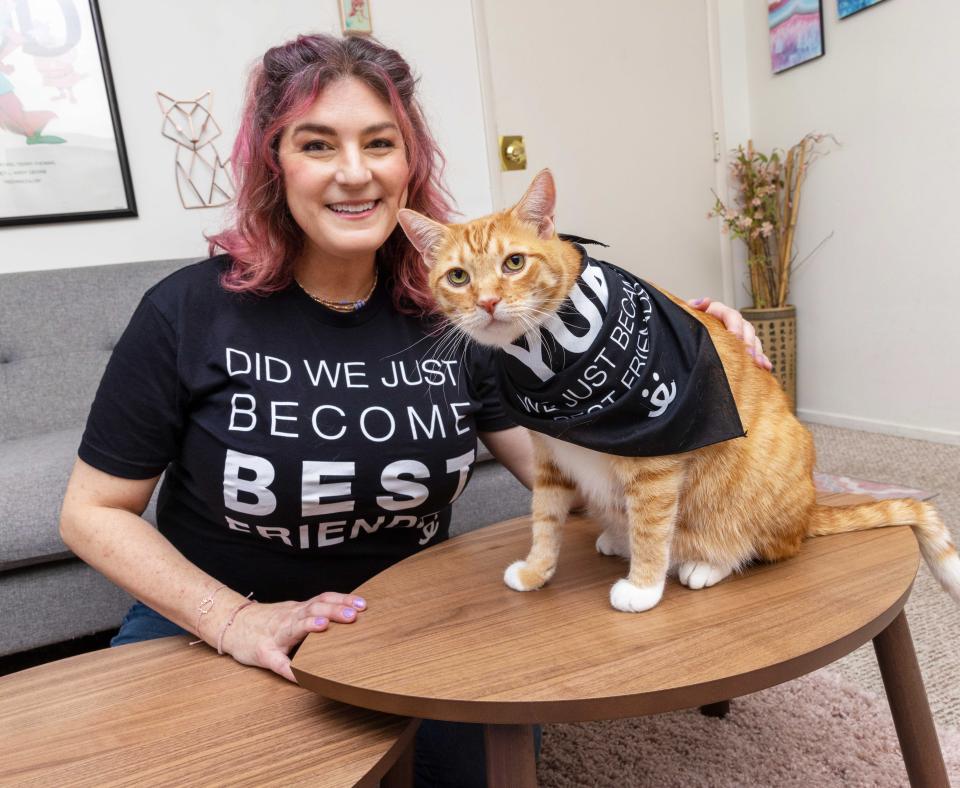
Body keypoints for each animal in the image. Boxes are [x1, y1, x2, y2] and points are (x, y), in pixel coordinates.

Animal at [396, 171, 960, 616]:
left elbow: (652, 528)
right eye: (458, 277)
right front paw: (537, 570)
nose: (488, 302)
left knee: (764, 547)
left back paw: (703, 564)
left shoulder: (655, 465)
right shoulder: (549, 460)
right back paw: (615, 536)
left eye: (514, 263)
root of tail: (808, 513)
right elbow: (545, 520)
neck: (549, 356)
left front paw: (644, 588)